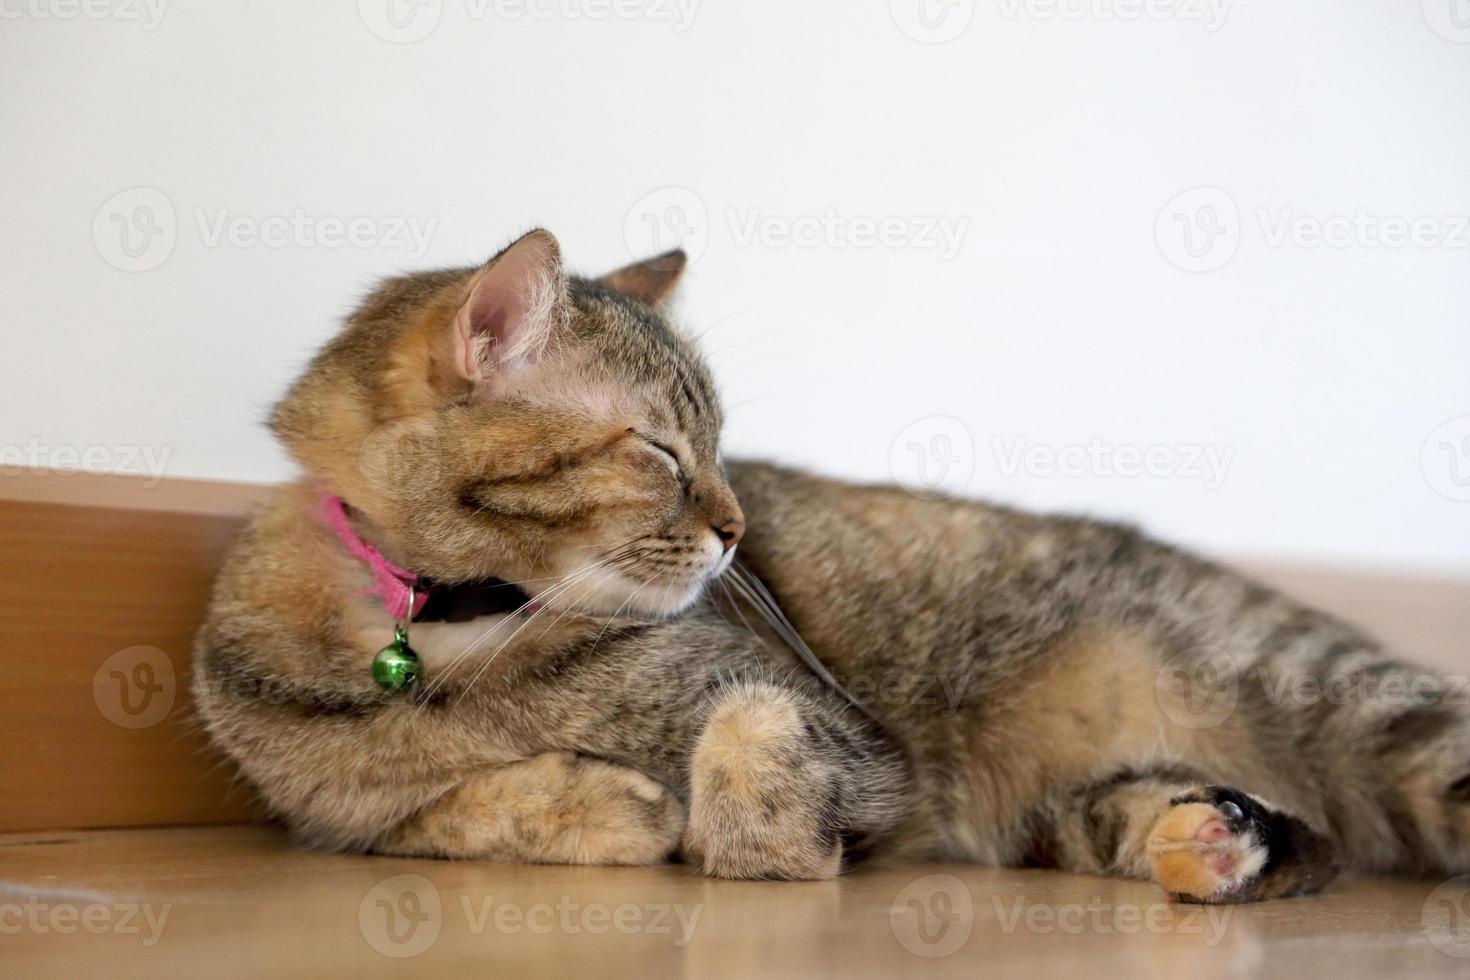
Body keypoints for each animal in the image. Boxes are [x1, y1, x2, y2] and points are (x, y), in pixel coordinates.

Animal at [189, 230, 1464, 905]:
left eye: (721, 445)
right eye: (665, 451)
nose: (738, 526)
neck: (457, 626)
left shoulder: (853, 739)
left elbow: (748, 739)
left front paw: (743, 841)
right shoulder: (331, 815)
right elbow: (437, 810)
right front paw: (595, 801)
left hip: (1352, 711)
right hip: (1084, 805)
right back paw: (1208, 837)